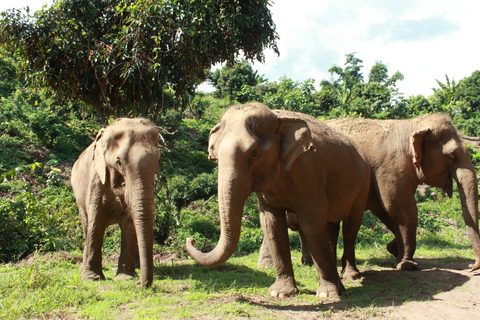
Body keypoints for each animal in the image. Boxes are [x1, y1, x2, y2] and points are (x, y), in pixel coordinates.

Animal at [71, 117, 161, 288]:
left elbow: (129, 224)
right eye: (119, 162)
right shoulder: (96, 180)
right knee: (86, 225)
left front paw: (126, 278)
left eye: (158, 161)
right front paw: (92, 278)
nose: (140, 284)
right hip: (78, 196)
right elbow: (96, 222)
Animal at [186, 103, 370, 298]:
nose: (191, 239)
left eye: (254, 153)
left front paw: (328, 294)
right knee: (331, 226)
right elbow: (272, 225)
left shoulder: (309, 170)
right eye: (216, 157)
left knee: (351, 226)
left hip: (363, 185)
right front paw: (280, 293)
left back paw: (350, 276)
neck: (277, 118)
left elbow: (311, 224)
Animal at [326, 115, 480, 270]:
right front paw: (407, 265)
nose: (471, 266)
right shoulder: (391, 167)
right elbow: (400, 208)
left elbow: (385, 209)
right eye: (451, 156)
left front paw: (393, 250)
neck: (412, 124)